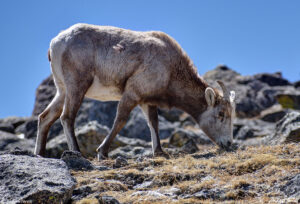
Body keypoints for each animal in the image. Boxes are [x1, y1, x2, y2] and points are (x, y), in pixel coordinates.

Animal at [34, 23, 236, 159]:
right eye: (220, 114)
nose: (228, 144)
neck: (171, 69)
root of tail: (55, 44)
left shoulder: (147, 101)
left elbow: (153, 124)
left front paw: (159, 152)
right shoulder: (132, 94)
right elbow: (120, 120)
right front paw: (102, 152)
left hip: (62, 91)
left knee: (45, 117)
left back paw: (40, 154)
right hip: (77, 86)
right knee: (67, 117)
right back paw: (77, 153)